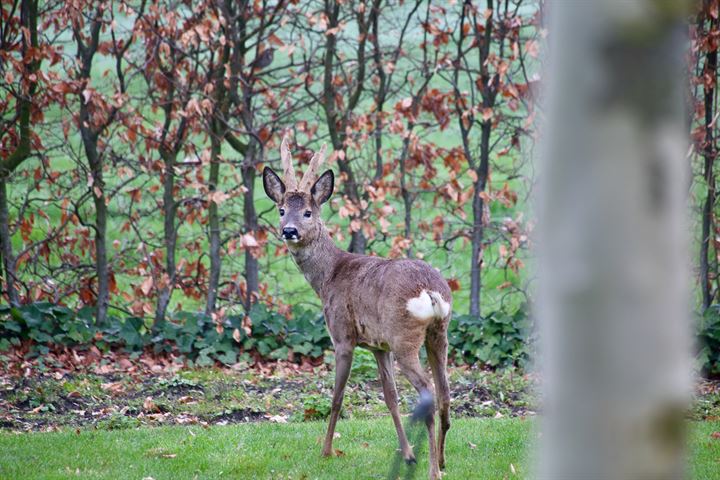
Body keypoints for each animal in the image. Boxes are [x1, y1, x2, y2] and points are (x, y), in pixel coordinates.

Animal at [264, 136, 450, 480]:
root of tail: (430, 291)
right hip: (438, 333)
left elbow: (337, 397)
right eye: (282, 209)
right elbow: (390, 397)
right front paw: (407, 454)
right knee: (444, 392)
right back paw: (442, 460)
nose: (289, 231)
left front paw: (326, 451)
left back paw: (433, 470)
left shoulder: (343, 336)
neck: (328, 276)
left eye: (308, 212)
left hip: (405, 338)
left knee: (428, 392)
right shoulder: (378, 345)